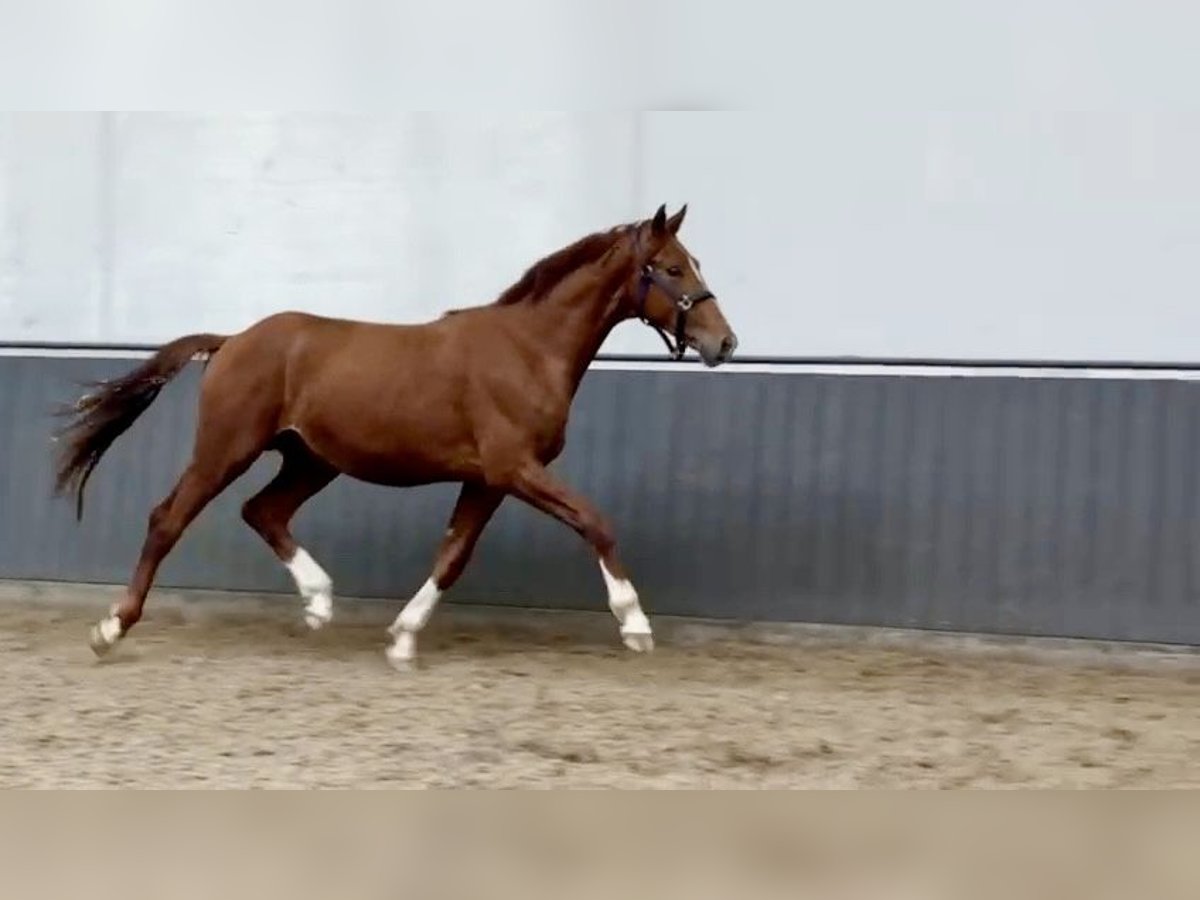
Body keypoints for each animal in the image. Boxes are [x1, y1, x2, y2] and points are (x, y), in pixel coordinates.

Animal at [54, 206, 729, 672]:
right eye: (673, 268)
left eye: (697, 263)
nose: (724, 342)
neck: (528, 349)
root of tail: (232, 340)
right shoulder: (514, 468)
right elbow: (595, 522)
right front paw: (635, 626)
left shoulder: (487, 479)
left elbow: (453, 556)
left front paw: (402, 640)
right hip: (226, 449)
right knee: (168, 519)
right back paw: (110, 629)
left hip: (311, 460)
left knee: (263, 511)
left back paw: (319, 603)